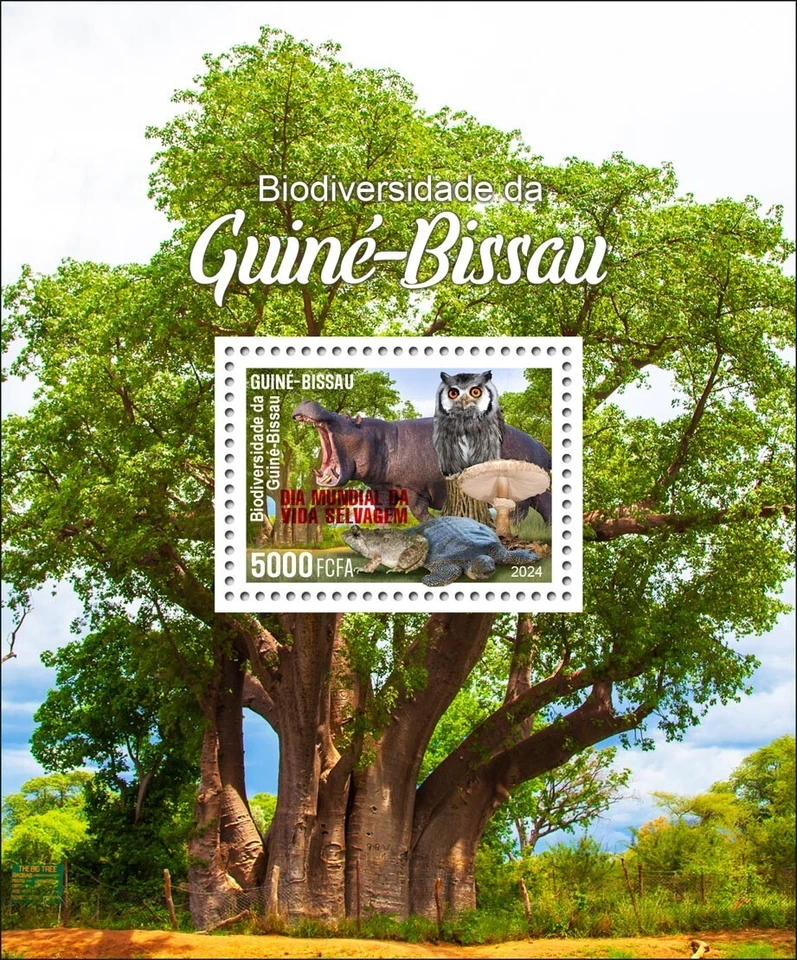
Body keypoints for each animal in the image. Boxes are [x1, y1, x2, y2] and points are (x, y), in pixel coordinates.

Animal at [292, 400, 552, 524]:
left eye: (346, 417)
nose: (308, 400)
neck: (378, 439)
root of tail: (541, 447)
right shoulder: (382, 488)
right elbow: (383, 514)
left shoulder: (414, 487)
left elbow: (418, 511)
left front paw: (435, 523)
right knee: (541, 508)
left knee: (525, 511)